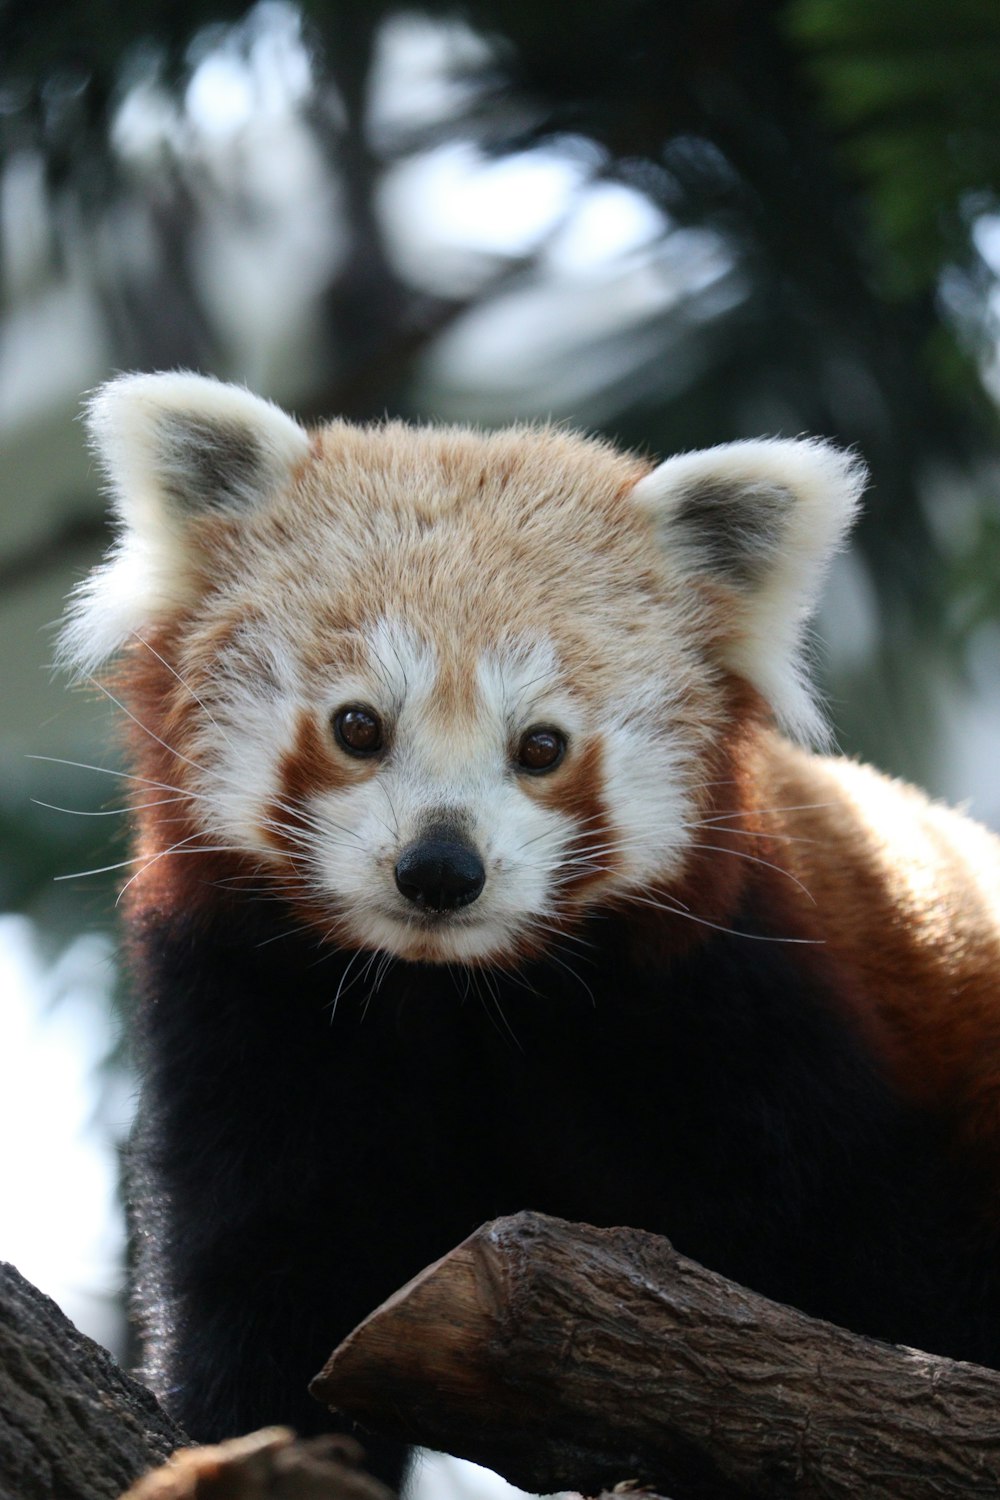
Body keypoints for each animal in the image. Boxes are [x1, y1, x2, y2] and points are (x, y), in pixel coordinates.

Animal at [60, 372, 1000, 1488]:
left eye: (541, 747)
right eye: (358, 726)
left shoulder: (754, 1020)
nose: (440, 870)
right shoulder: (256, 1014)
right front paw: (245, 1443)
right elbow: (271, 1266)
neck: (458, 992)